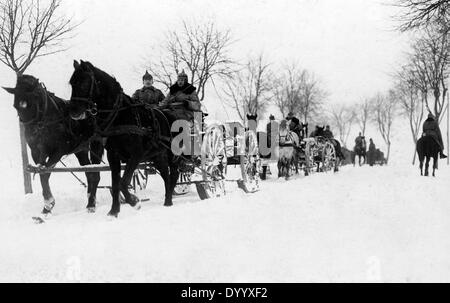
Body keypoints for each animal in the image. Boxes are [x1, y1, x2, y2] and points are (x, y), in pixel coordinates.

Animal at [2, 75, 103, 217]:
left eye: (34, 101)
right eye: (15, 106)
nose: (32, 134)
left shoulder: (58, 152)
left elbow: (45, 173)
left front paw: (49, 203)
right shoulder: (37, 152)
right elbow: (42, 172)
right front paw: (47, 207)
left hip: (96, 146)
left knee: (95, 173)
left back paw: (91, 204)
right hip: (81, 150)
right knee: (89, 172)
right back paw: (90, 201)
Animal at [68, 61, 178, 218]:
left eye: (84, 83)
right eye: (72, 83)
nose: (73, 112)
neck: (121, 116)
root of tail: (169, 114)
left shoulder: (136, 155)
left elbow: (123, 182)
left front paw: (134, 201)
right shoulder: (113, 156)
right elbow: (116, 184)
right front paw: (114, 211)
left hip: (172, 155)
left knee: (173, 174)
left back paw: (169, 200)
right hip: (158, 156)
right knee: (166, 175)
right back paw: (167, 199)